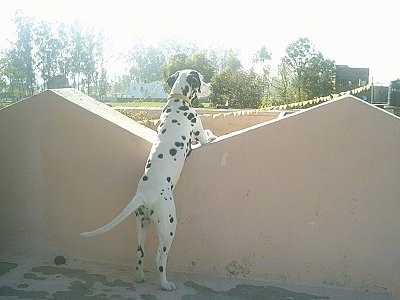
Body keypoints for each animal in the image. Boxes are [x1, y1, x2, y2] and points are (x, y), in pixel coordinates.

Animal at [81, 69, 216, 290]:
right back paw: (166, 284)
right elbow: (208, 135)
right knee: (160, 257)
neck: (178, 101)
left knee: (139, 252)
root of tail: (143, 194)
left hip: (141, 223)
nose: (210, 86)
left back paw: (140, 277)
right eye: (201, 79)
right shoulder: (199, 133)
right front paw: (213, 134)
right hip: (169, 225)